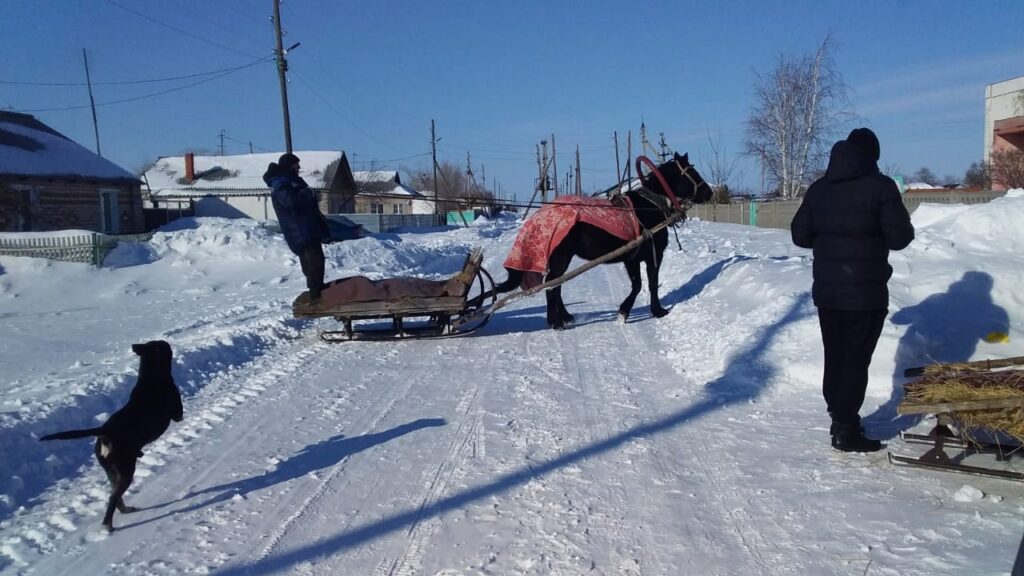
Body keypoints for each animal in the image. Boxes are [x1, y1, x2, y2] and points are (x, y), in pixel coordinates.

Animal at [38, 338, 184, 532]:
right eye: (163, 345)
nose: (167, 342)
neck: (151, 376)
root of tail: (105, 432)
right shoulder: (176, 412)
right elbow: (178, 415)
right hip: (125, 468)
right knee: (113, 497)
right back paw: (108, 525)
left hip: (111, 470)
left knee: (115, 495)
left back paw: (124, 511)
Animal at [495, 152, 712, 327]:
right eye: (692, 172)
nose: (709, 192)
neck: (649, 206)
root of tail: (539, 215)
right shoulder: (653, 256)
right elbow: (649, 284)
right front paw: (651, 311)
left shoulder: (632, 259)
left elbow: (637, 285)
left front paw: (625, 311)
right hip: (561, 258)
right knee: (552, 286)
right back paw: (555, 321)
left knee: (557, 284)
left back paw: (565, 316)